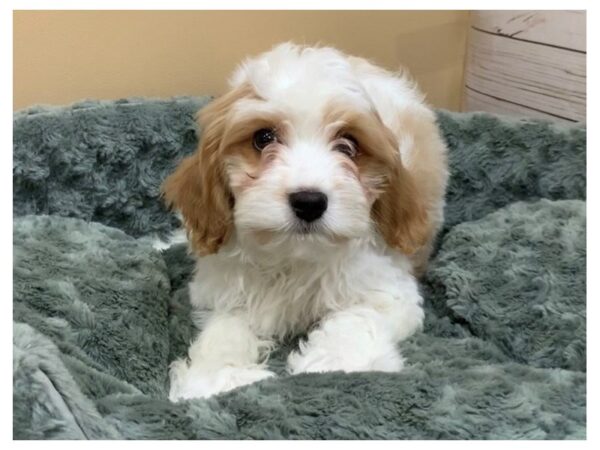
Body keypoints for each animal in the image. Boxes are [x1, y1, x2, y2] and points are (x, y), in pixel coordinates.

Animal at [163, 44, 446, 400]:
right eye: (263, 138)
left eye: (349, 144)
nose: (309, 201)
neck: (294, 258)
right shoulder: (225, 290)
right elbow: (225, 330)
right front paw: (217, 374)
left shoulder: (389, 289)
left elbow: (359, 316)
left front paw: (334, 360)